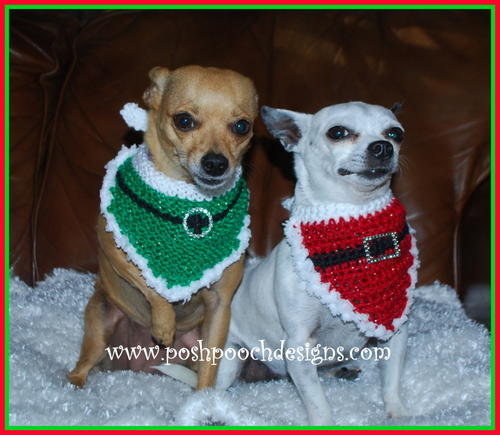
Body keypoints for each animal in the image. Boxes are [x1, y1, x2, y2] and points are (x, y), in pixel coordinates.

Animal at [67, 65, 258, 392]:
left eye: (241, 126)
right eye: (184, 121)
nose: (216, 163)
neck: (187, 196)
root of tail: (143, 367)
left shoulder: (220, 307)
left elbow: (209, 372)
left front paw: (204, 400)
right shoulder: (115, 250)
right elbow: (150, 282)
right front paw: (165, 322)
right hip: (100, 318)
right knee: (84, 363)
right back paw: (74, 383)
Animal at [215, 101, 418, 426]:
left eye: (395, 133)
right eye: (338, 132)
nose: (383, 147)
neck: (353, 212)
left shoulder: (395, 331)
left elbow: (391, 380)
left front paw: (398, 414)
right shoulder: (299, 345)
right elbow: (317, 403)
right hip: (229, 358)